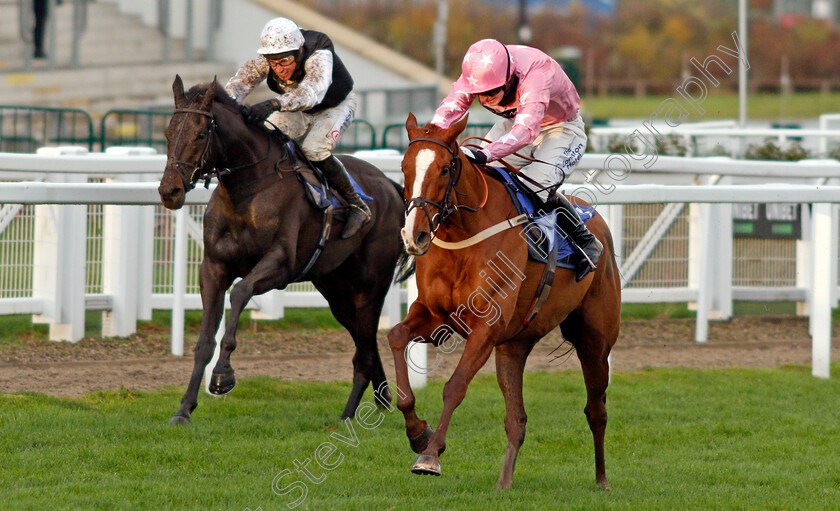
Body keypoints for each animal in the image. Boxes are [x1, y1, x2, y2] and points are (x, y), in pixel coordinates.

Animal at [159, 77, 412, 424]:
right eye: (168, 133)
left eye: (199, 134)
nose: (169, 191)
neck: (246, 189)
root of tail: (391, 186)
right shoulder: (213, 268)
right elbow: (204, 342)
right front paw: (184, 409)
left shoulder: (280, 265)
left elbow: (241, 292)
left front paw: (223, 376)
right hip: (336, 291)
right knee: (367, 346)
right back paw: (377, 400)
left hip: (370, 286)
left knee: (365, 350)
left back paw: (349, 414)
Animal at [390, 114, 620, 490]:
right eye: (404, 168)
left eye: (444, 169)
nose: (415, 235)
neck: (464, 234)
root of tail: (595, 219)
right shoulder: (436, 317)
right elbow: (396, 336)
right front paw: (417, 433)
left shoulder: (486, 328)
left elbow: (455, 387)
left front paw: (430, 455)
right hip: (514, 345)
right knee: (517, 420)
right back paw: (504, 482)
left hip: (595, 340)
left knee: (596, 410)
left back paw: (602, 480)